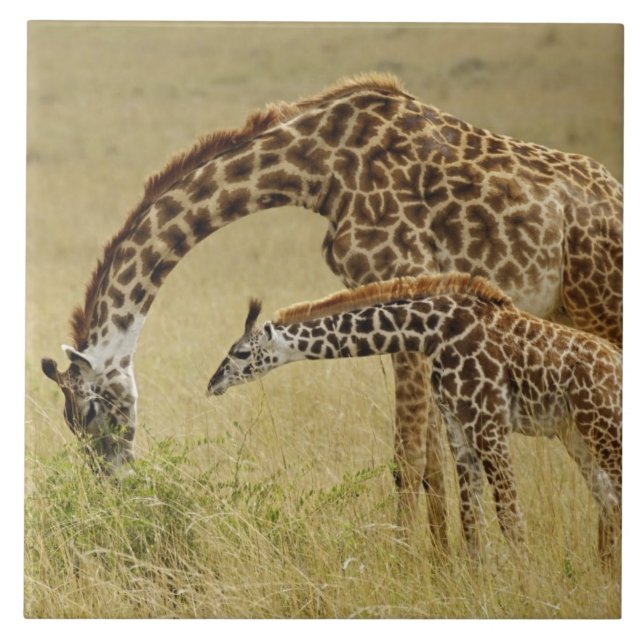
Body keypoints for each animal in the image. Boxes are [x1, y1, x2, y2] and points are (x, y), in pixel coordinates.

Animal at [206, 274, 622, 563]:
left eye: (241, 353)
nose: (213, 383)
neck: (433, 333)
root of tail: (616, 363)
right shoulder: (459, 426)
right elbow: (470, 519)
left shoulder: (489, 422)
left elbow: (509, 516)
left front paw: (526, 588)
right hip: (574, 433)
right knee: (608, 497)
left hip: (602, 425)